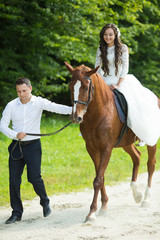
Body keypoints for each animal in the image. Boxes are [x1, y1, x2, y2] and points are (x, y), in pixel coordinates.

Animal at [64, 62, 158, 223]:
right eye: (71, 86)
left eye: (86, 87)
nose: (76, 117)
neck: (98, 113)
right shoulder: (92, 149)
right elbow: (100, 177)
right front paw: (104, 206)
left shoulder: (106, 149)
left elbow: (98, 180)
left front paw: (91, 213)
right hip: (126, 143)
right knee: (137, 157)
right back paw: (137, 194)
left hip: (151, 139)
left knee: (151, 165)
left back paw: (146, 199)